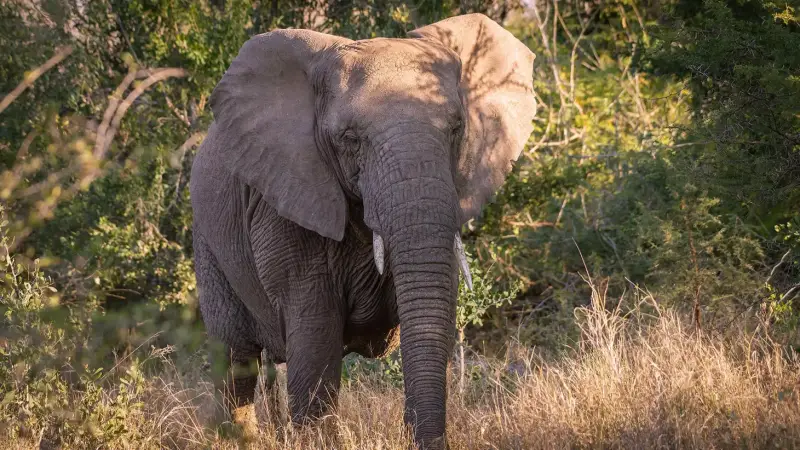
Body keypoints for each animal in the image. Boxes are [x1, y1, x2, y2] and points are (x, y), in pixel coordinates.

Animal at [189, 13, 536, 449]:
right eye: (349, 139)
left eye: (457, 128)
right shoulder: (287, 202)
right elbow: (315, 339)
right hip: (208, 241)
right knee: (236, 363)